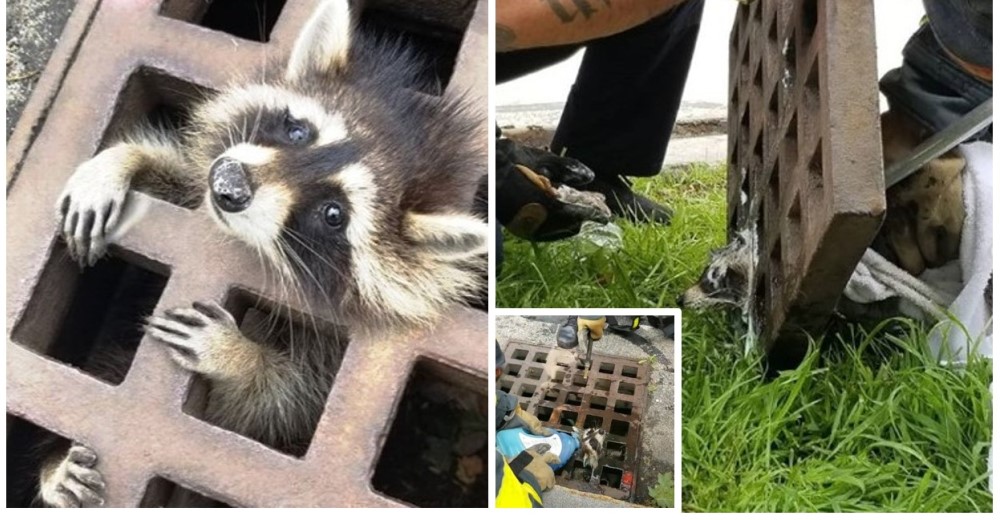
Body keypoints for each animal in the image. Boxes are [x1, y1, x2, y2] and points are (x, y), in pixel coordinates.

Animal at [38, 0, 488, 506]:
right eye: (297, 130)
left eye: (334, 214)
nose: (228, 184)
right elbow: (178, 182)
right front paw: (120, 161)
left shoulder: (324, 359)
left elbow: (278, 402)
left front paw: (239, 356)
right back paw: (56, 469)